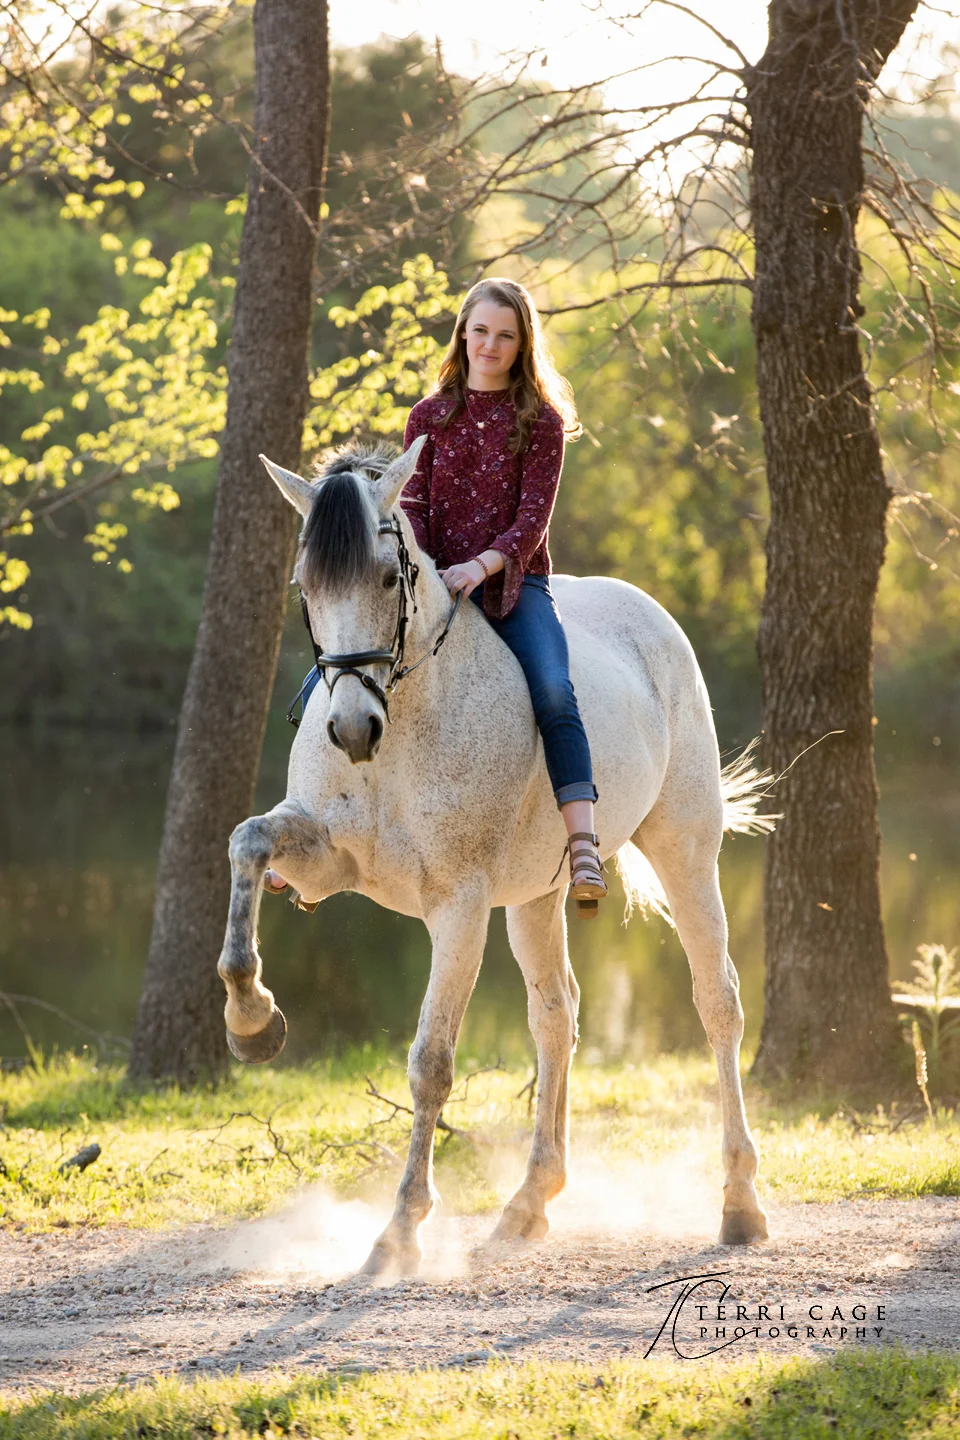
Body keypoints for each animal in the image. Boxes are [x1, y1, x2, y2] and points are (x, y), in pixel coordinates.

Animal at [217, 436, 770, 1276]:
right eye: (304, 587)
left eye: (387, 578)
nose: (351, 730)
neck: (404, 723)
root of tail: (650, 613)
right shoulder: (327, 860)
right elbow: (246, 843)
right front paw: (252, 1019)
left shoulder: (459, 906)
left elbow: (431, 1062)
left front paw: (399, 1231)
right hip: (537, 897)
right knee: (556, 1016)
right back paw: (529, 1202)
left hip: (685, 852)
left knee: (719, 1005)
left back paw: (740, 1204)